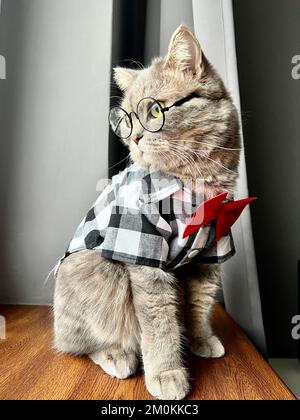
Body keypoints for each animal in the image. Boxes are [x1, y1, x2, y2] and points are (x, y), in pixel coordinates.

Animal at [54, 26, 241, 400]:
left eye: (155, 111)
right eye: (126, 119)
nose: (135, 137)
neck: (195, 185)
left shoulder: (211, 252)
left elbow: (199, 305)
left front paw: (200, 340)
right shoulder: (144, 254)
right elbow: (159, 323)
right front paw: (166, 373)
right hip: (97, 271)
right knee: (79, 345)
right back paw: (116, 355)